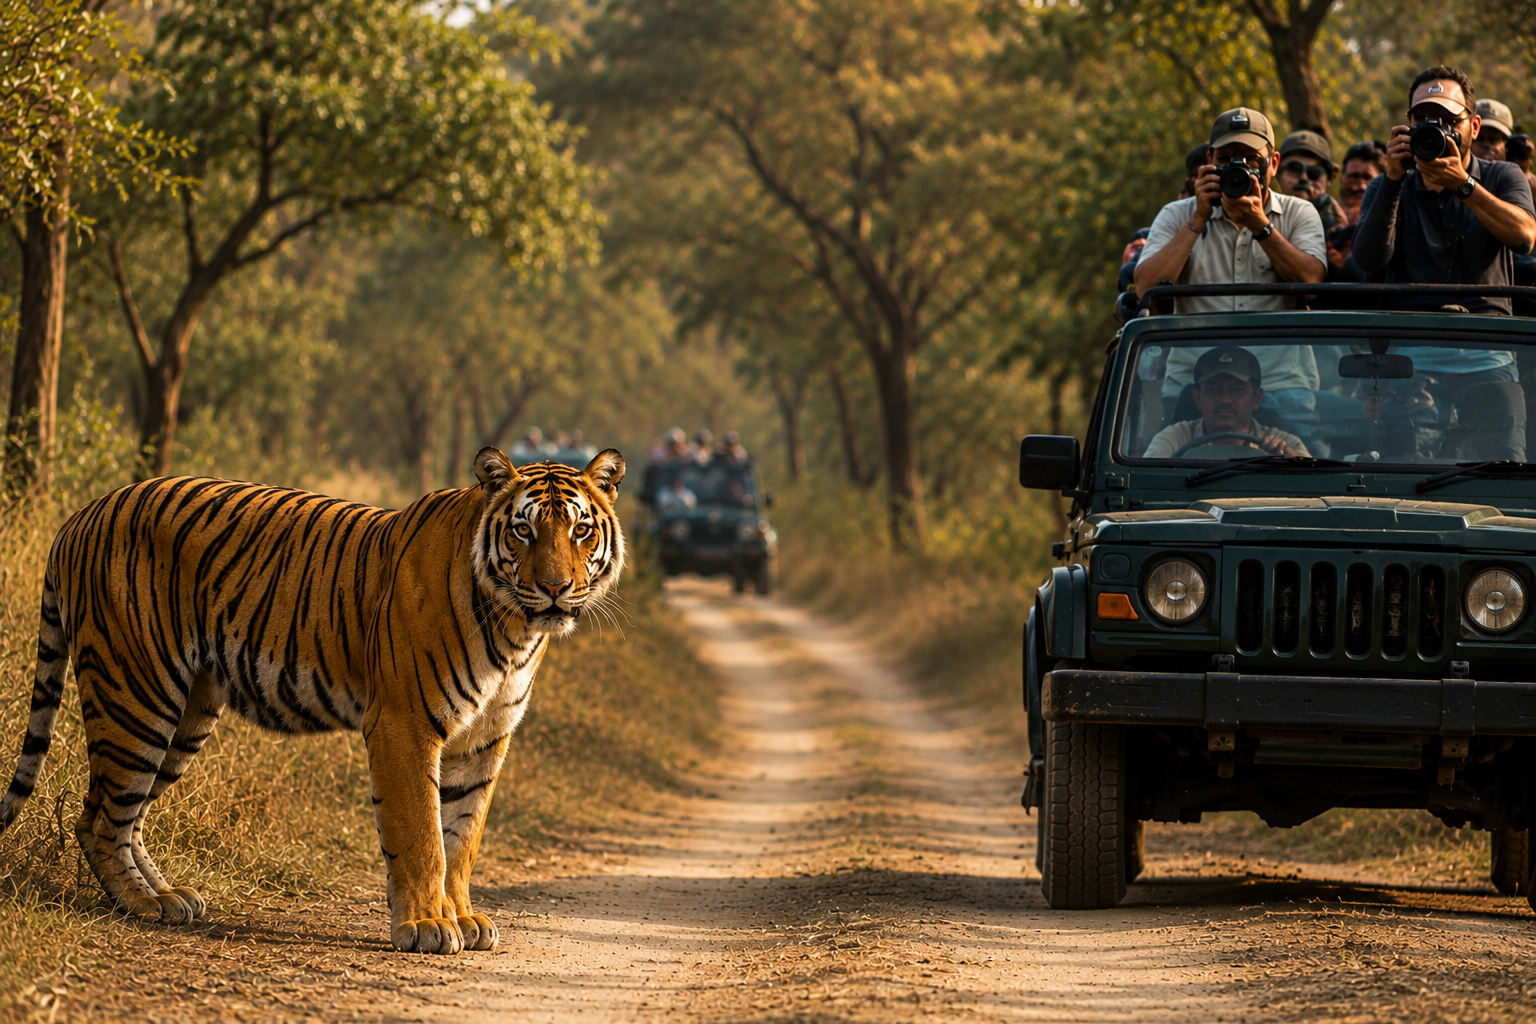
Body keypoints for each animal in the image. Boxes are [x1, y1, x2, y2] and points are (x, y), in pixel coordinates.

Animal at [0, 446, 625, 955]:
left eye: (580, 531)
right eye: (524, 531)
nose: (553, 588)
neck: (515, 631)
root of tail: (82, 514)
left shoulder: (484, 739)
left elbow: (463, 836)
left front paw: (463, 917)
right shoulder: (405, 723)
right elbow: (423, 833)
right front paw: (426, 925)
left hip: (186, 715)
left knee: (123, 815)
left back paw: (170, 895)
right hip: (138, 693)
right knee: (98, 818)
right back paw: (141, 903)